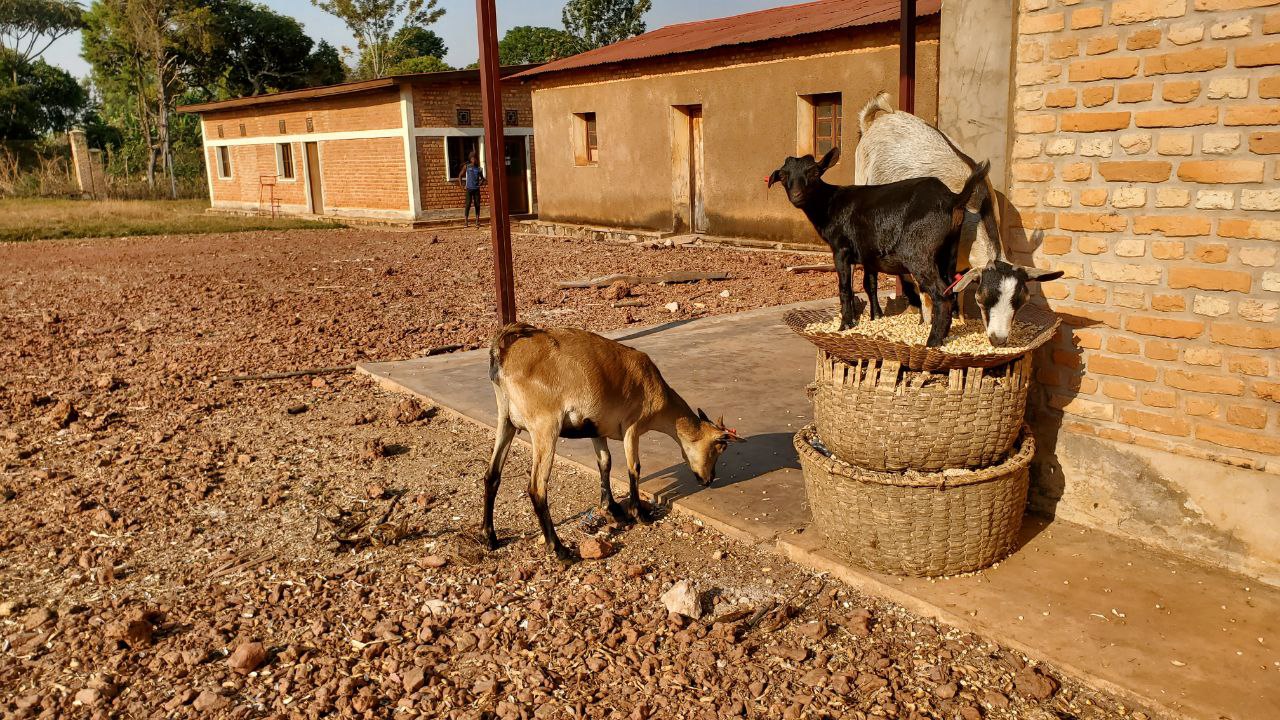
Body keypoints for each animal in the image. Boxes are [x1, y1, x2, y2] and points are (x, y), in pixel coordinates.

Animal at [481, 322, 742, 563]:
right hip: (545, 426)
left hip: (506, 420)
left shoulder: (597, 428)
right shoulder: (632, 426)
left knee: (492, 474)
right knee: (537, 487)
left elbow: (605, 462)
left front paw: (613, 508)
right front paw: (640, 514)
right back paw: (559, 550)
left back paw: (489, 538)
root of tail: (504, 351)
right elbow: (634, 468)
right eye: (720, 447)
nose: (708, 480)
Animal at [768, 147, 988, 345]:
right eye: (783, 175)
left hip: (918, 252)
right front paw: (876, 317)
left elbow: (845, 288)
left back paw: (932, 341)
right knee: (952, 287)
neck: (830, 205)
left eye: (814, 172)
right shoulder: (869, 255)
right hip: (949, 250)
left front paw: (845, 325)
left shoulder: (841, 249)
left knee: (942, 294)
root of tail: (953, 199)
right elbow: (869, 285)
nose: (797, 196)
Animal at [855, 91, 1064, 345]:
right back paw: (876, 314)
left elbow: (958, 289)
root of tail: (875, 122)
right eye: (983, 299)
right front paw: (927, 323)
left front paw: (960, 319)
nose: (998, 339)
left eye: (1020, 301)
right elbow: (927, 291)